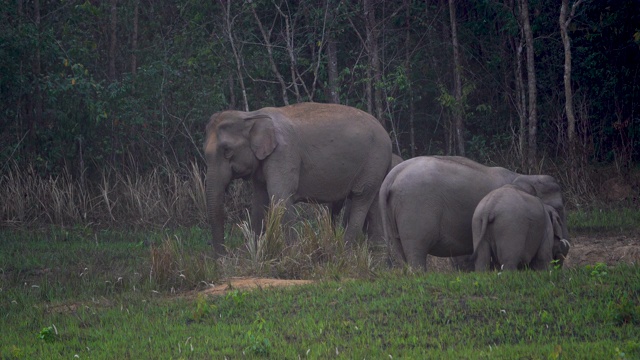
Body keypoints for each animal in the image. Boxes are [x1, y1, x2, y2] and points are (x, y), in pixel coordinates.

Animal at [204, 102, 390, 258]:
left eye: (227, 150)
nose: (222, 256)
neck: (252, 115)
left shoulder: (283, 152)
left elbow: (280, 195)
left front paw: (293, 253)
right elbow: (259, 201)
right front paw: (255, 253)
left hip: (374, 160)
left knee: (361, 197)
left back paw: (345, 250)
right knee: (373, 201)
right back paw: (378, 250)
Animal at [378, 155, 568, 270]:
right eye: (559, 208)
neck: (523, 176)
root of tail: (391, 176)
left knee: (401, 251)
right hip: (416, 209)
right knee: (416, 250)